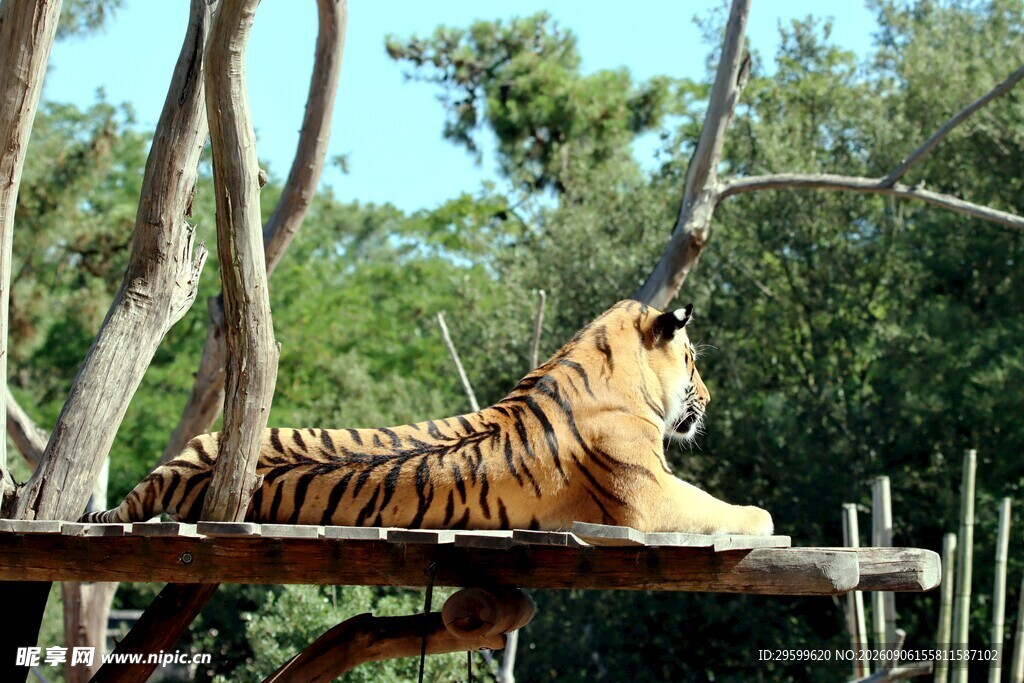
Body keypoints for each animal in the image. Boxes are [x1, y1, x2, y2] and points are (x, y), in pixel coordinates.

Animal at [82, 300, 773, 535]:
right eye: (693, 360)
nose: (709, 399)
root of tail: (183, 471)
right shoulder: (652, 497)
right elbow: (728, 511)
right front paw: (764, 516)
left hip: (200, 439)